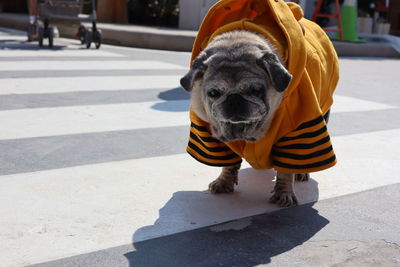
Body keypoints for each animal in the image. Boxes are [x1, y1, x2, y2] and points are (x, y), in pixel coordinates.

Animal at [180, 30, 314, 207]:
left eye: (256, 90)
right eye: (213, 93)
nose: (234, 99)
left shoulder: (295, 134)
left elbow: (286, 172)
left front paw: (283, 193)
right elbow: (228, 164)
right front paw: (224, 182)